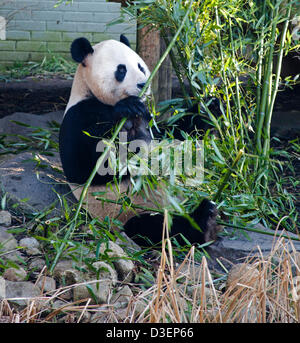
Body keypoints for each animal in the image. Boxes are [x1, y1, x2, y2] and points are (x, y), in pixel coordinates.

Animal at [59, 34, 223, 247]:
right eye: (121, 70)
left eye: (140, 66)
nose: (142, 84)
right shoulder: (78, 116)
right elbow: (87, 165)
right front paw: (128, 115)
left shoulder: (150, 120)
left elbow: (174, 132)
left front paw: (209, 106)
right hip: (125, 211)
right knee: (158, 227)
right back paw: (204, 222)